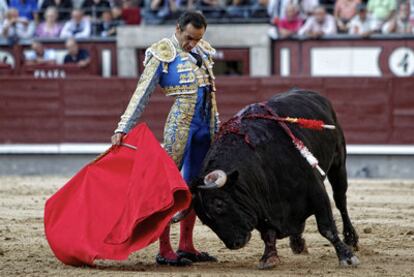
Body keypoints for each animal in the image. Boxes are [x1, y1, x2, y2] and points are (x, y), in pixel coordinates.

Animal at [190, 89, 360, 268]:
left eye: (219, 204)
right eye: (204, 219)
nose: (234, 244)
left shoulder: (316, 191)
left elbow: (326, 227)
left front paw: (347, 256)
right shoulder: (260, 204)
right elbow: (267, 234)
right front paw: (269, 258)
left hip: (338, 163)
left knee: (340, 200)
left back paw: (351, 239)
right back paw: (297, 242)